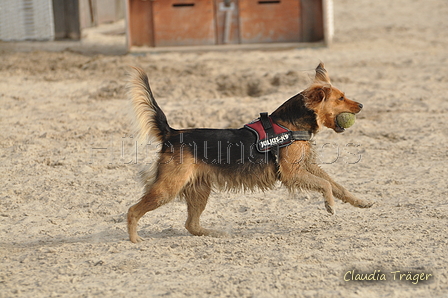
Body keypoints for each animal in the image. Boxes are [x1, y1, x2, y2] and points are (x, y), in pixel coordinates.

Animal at [125, 62, 372, 242]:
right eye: (340, 98)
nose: (361, 105)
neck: (290, 124)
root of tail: (172, 134)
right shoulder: (292, 174)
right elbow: (326, 185)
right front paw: (330, 205)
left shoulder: (307, 167)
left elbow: (336, 185)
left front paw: (359, 201)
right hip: (168, 188)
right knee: (132, 210)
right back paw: (135, 240)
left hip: (199, 189)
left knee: (191, 225)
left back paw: (216, 234)